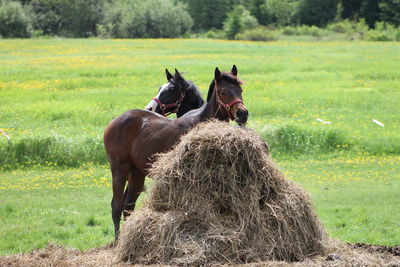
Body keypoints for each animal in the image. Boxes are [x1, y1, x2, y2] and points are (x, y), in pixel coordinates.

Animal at [104, 66, 247, 240]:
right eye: (222, 92)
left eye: (240, 90)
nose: (242, 114)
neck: (200, 120)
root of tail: (114, 121)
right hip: (119, 169)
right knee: (116, 206)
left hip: (137, 173)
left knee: (128, 206)